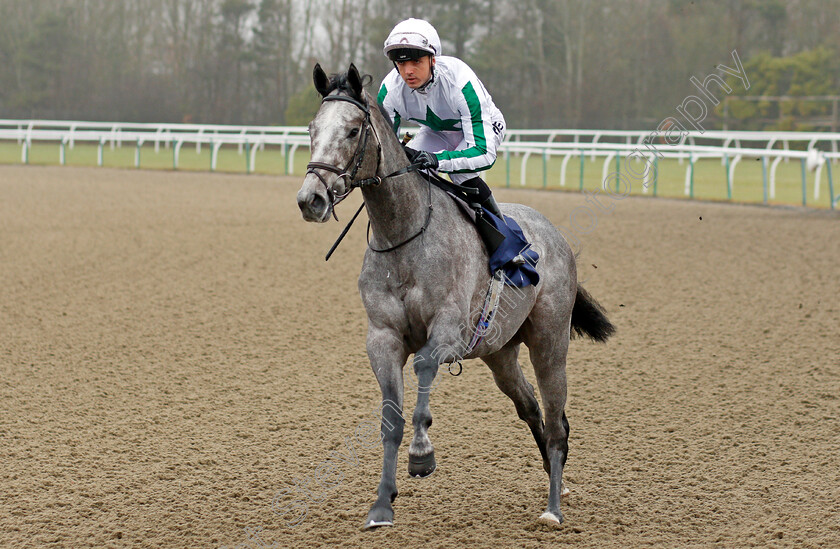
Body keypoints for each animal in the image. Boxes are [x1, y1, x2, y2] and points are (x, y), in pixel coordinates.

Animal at [298, 63, 612, 528]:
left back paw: (553, 507)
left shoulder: (447, 330)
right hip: (500, 353)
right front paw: (382, 504)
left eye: (353, 130)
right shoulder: (382, 338)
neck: (404, 235)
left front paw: (422, 455)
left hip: (550, 342)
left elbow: (424, 369)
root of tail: (554, 233)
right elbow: (390, 419)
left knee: (556, 421)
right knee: (532, 409)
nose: (311, 199)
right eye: (311, 129)